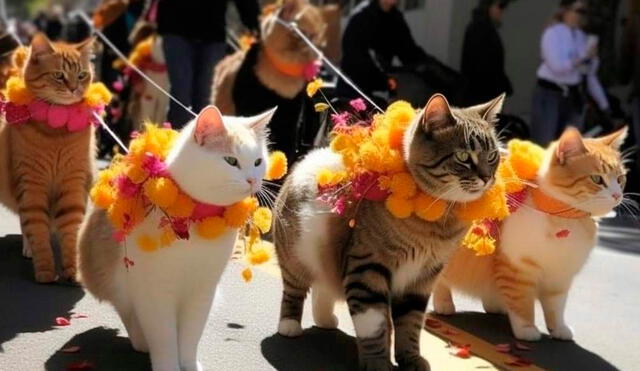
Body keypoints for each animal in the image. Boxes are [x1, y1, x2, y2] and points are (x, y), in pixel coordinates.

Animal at [0, 33, 96, 284]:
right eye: (59, 75)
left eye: (81, 75)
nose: (74, 88)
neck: (57, 131)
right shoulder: (31, 185)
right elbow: (37, 232)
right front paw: (44, 271)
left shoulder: (73, 185)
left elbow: (71, 232)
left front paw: (73, 271)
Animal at [78, 105, 276, 371]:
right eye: (231, 161)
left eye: (258, 161)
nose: (253, 180)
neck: (197, 214)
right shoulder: (155, 292)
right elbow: (164, 338)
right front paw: (168, 364)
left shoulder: (203, 291)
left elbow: (191, 336)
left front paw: (189, 364)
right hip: (115, 281)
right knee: (129, 314)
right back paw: (141, 340)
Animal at [276, 93, 504, 371]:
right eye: (462, 156)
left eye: (492, 155)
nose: (487, 178)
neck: (437, 219)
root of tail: (310, 158)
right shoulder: (368, 270)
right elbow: (374, 325)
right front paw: (377, 362)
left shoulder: (421, 279)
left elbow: (410, 325)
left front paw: (411, 360)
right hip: (296, 257)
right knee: (294, 290)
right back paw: (289, 325)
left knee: (323, 289)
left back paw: (325, 320)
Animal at [432, 126, 628, 342]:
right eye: (597, 179)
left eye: (620, 179)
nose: (617, 195)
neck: (565, 219)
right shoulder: (517, 269)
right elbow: (522, 305)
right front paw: (527, 330)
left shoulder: (560, 278)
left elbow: (556, 309)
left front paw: (559, 329)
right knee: (439, 282)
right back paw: (444, 304)